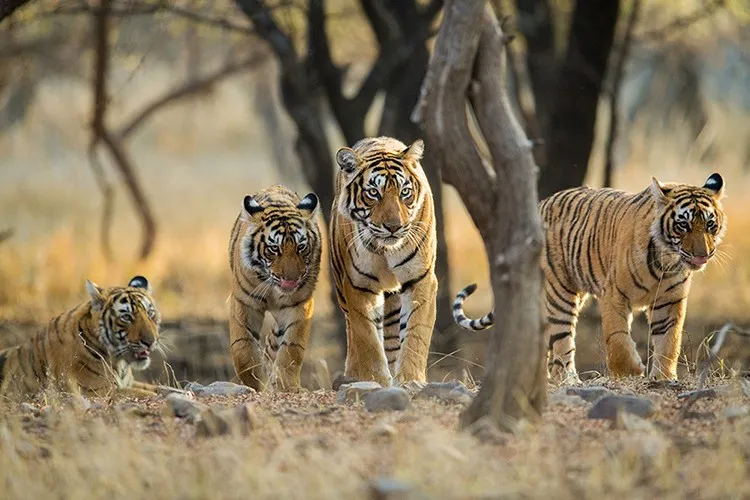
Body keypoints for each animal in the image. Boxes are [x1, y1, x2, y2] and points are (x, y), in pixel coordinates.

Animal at [0, 274, 164, 398]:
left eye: (150, 314)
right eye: (127, 317)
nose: (150, 342)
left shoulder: (128, 383)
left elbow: (162, 389)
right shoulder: (99, 391)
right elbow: (152, 395)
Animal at [229, 184, 324, 390]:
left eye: (301, 247)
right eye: (274, 249)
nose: (291, 279)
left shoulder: (299, 304)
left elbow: (292, 348)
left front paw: (286, 385)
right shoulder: (244, 302)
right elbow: (243, 348)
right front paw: (254, 384)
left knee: (273, 344)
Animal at [330, 137, 440, 386]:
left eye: (405, 192)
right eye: (373, 193)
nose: (394, 227)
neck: (385, 250)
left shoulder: (421, 279)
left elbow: (416, 333)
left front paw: (410, 379)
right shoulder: (358, 285)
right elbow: (367, 338)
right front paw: (376, 380)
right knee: (354, 332)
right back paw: (353, 374)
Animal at [452, 173, 728, 382]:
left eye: (710, 225)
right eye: (683, 225)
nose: (702, 255)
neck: (666, 261)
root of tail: (540, 204)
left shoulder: (669, 301)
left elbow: (669, 340)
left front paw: (663, 377)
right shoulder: (614, 295)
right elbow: (617, 338)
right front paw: (630, 372)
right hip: (559, 294)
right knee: (562, 342)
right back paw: (568, 380)